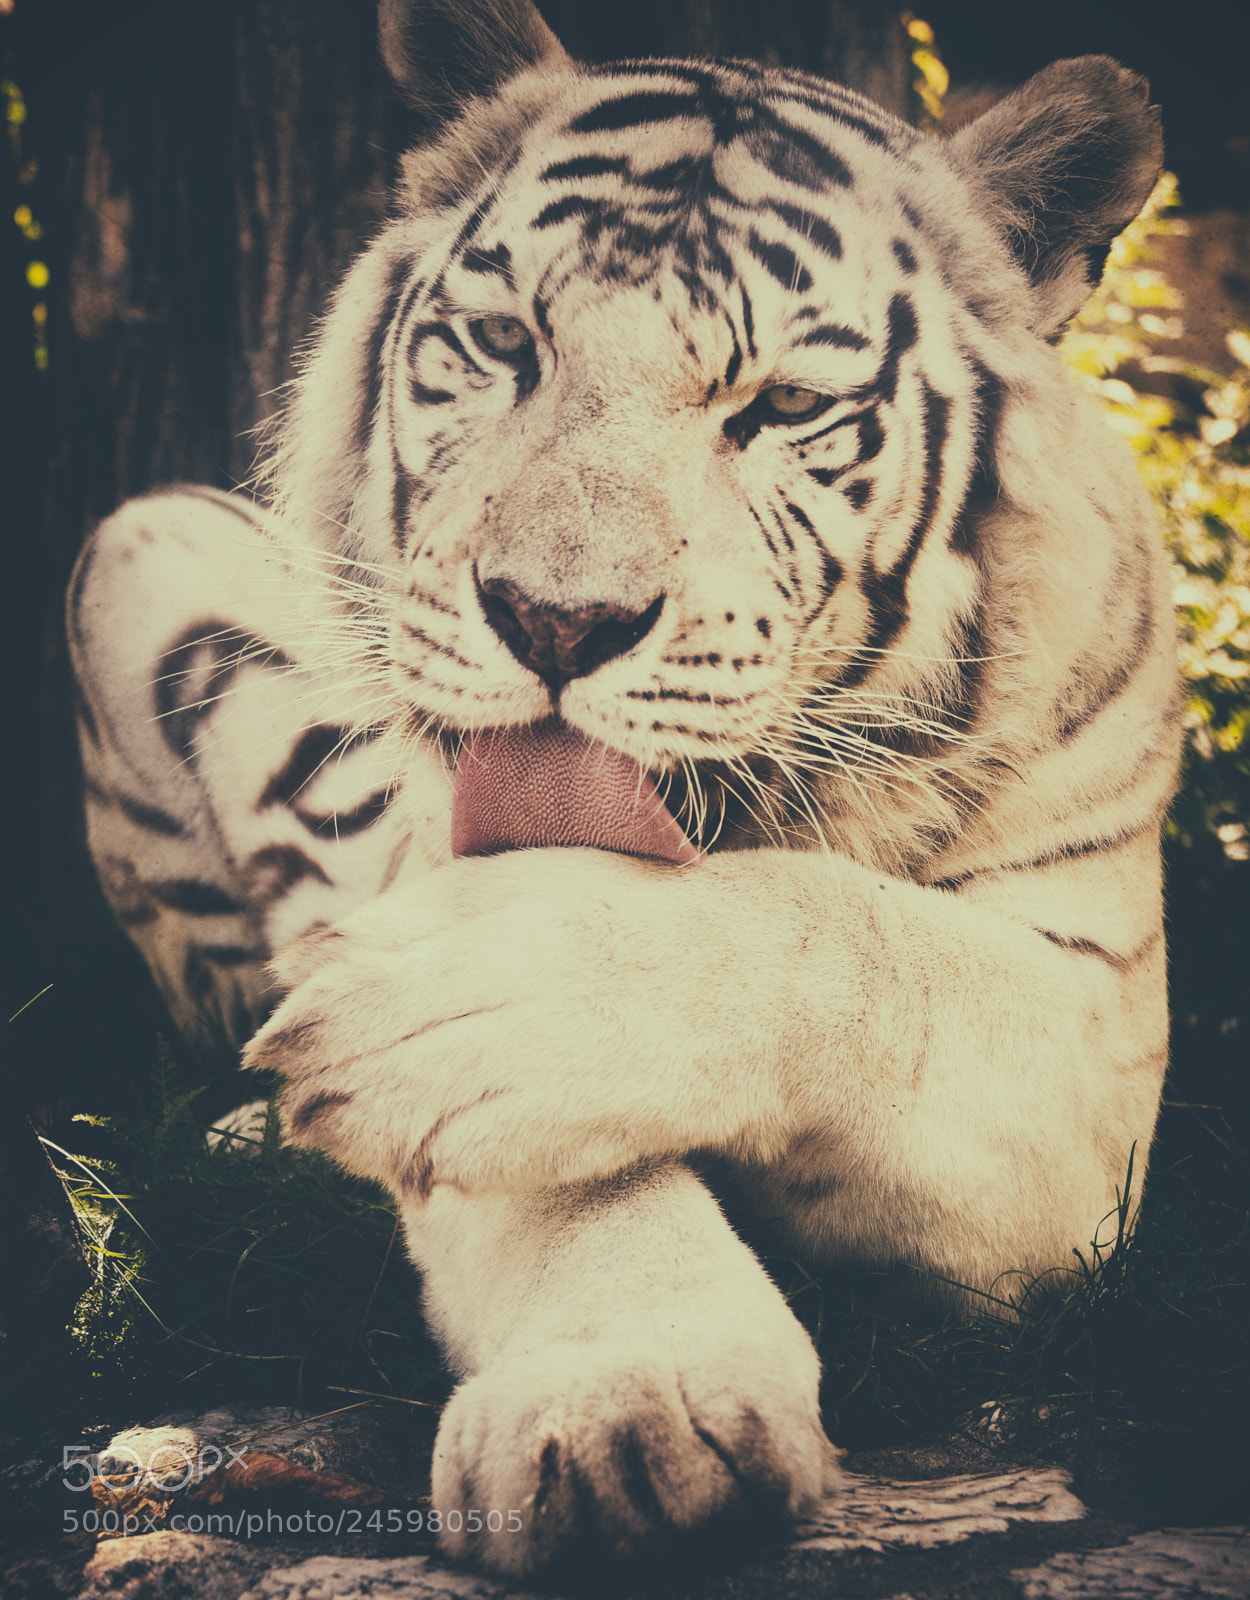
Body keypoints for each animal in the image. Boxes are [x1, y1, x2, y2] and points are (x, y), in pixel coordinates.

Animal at [67, 0, 1180, 1575]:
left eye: (783, 407)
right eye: (502, 343)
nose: (555, 619)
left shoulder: (1096, 1063)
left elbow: (843, 934)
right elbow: (543, 1171)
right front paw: (627, 1400)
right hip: (144, 546)